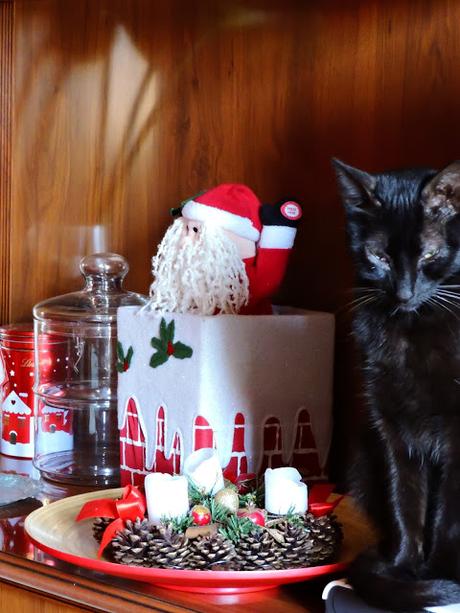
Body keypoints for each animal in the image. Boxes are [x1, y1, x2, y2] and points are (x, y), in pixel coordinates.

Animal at [334, 159, 460, 612]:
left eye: (429, 254)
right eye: (380, 256)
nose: (404, 293)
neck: (412, 328)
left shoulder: (456, 433)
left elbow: (448, 510)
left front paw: (441, 572)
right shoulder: (388, 425)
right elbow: (404, 499)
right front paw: (404, 567)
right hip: (359, 456)